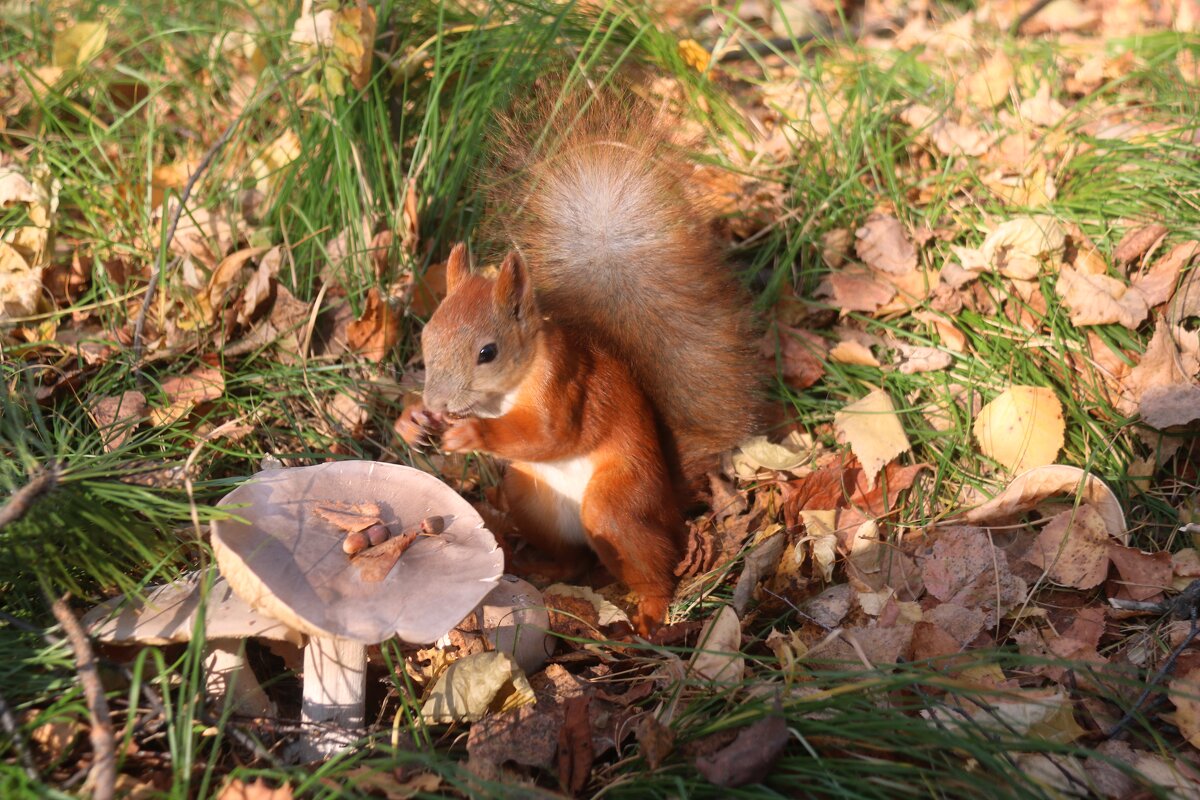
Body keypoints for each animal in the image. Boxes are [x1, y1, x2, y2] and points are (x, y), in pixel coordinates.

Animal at [403, 90, 758, 633]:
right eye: (427, 336)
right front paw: (413, 422)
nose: (439, 402)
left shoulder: (565, 383)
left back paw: (650, 612)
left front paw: (472, 435)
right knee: (572, 558)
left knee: (653, 563)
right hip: (530, 497)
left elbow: (549, 433)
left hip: (619, 503)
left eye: (487, 352)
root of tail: (670, 502)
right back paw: (544, 566)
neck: (507, 390)